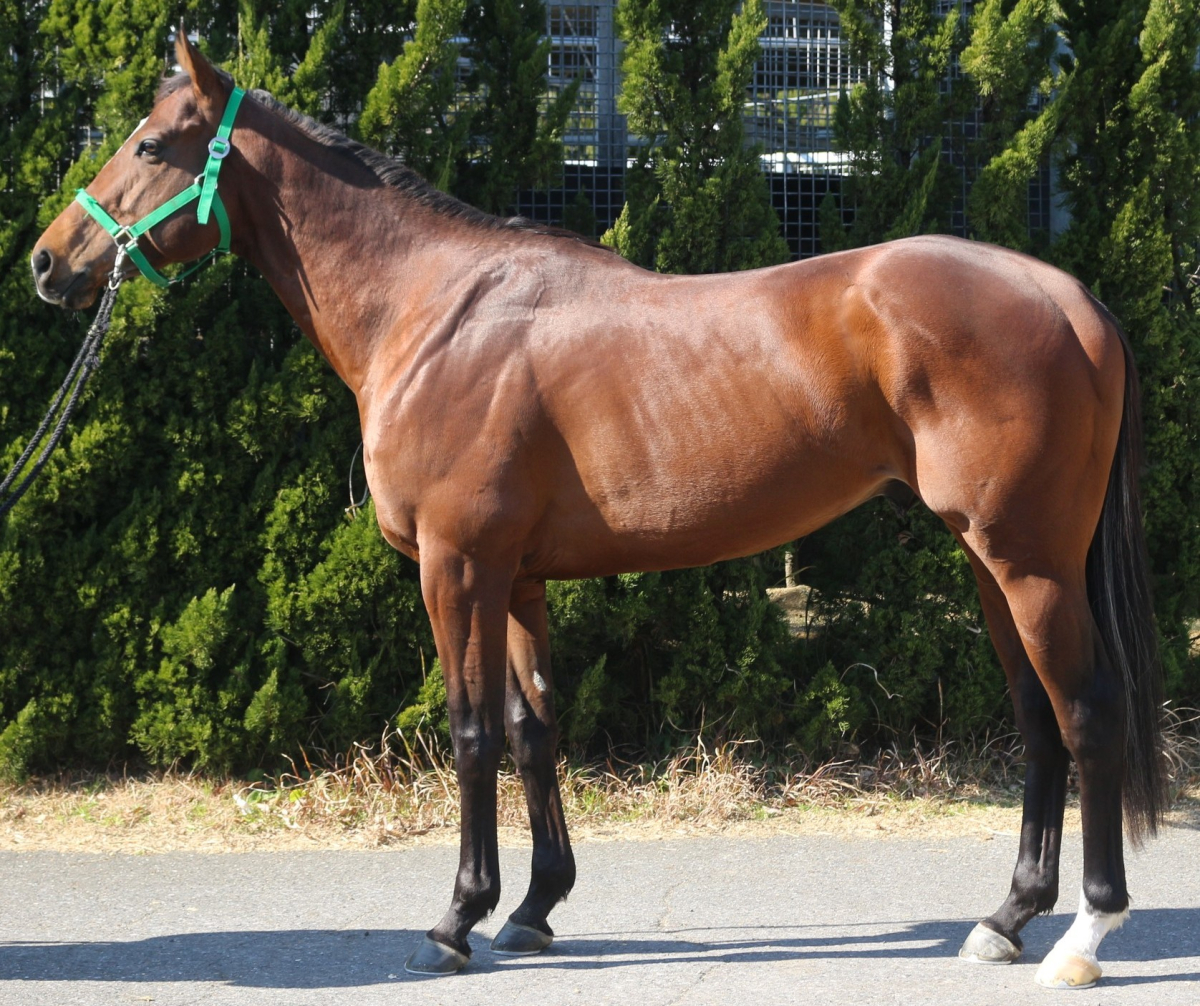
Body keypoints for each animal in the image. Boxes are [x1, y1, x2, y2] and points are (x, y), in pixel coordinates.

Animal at [30, 30, 1165, 990]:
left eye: (150, 142)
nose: (48, 261)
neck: (433, 312)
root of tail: (1068, 297)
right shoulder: (517, 577)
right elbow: (534, 730)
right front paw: (533, 909)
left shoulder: (455, 566)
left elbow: (471, 732)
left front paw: (456, 920)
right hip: (990, 562)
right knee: (1038, 719)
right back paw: (1005, 919)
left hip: (1028, 563)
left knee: (1089, 711)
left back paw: (1084, 934)